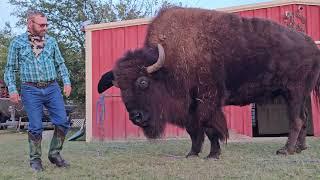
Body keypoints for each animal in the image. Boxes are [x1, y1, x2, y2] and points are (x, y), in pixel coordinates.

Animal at [97, 7, 320, 159]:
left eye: (143, 82)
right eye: (121, 87)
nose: (136, 117)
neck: (169, 63)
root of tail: (310, 44)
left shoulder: (206, 102)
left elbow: (210, 128)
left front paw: (213, 154)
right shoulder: (190, 108)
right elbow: (195, 131)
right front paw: (192, 153)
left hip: (293, 92)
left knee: (296, 120)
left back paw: (285, 150)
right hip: (298, 95)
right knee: (304, 118)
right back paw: (299, 148)